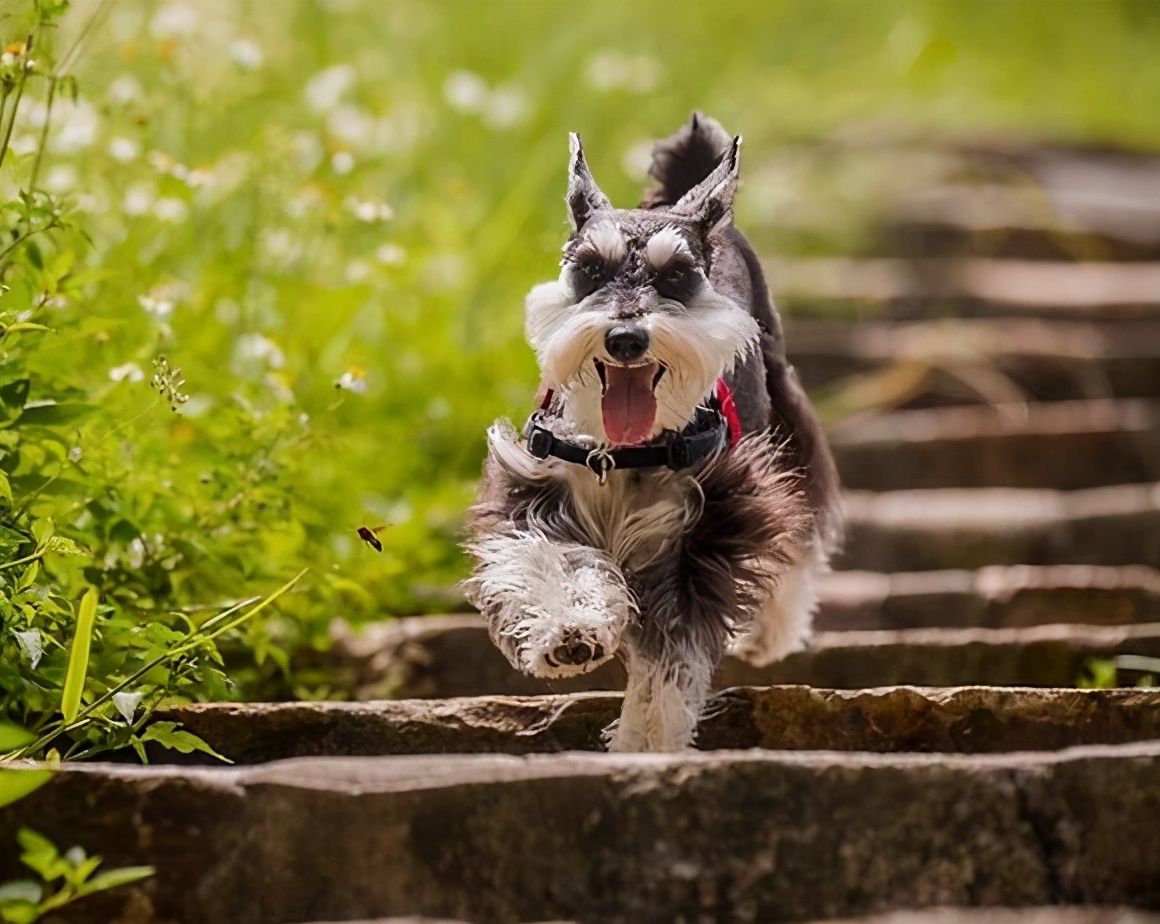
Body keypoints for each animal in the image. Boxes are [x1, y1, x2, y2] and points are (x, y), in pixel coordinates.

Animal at [464, 113, 844, 751]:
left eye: (678, 277)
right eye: (590, 269)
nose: (625, 339)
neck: (622, 452)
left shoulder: (704, 533)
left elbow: (671, 656)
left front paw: (647, 739)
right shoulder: (535, 492)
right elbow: (550, 561)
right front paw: (569, 631)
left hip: (787, 424)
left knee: (801, 527)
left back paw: (771, 633)